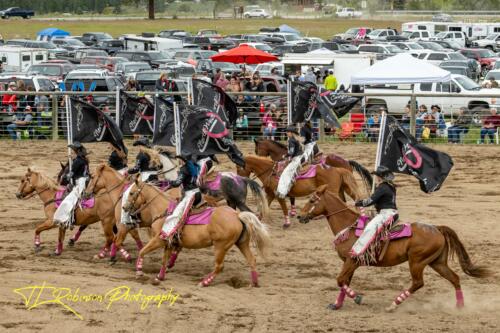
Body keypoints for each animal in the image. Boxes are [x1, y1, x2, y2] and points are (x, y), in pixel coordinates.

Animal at [123, 178, 272, 286]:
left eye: (131, 193)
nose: (124, 208)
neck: (164, 210)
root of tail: (237, 215)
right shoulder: (168, 243)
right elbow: (164, 260)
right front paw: (159, 277)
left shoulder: (159, 239)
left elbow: (142, 251)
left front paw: (139, 272)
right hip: (242, 243)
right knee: (252, 260)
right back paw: (254, 282)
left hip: (220, 247)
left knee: (219, 266)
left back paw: (204, 282)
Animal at [296, 185, 488, 310]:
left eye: (312, 200)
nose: (300, 216)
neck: (349, 227)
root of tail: (436, 228)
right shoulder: (348, 263)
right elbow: (343, 282)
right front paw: (337, 304)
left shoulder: (352, 261)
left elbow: (340, 280)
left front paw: (357, 297)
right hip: (437, 262)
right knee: (454, 278)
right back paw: (460, 306)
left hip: (417, 262)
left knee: (418, 283)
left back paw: (394, 304)